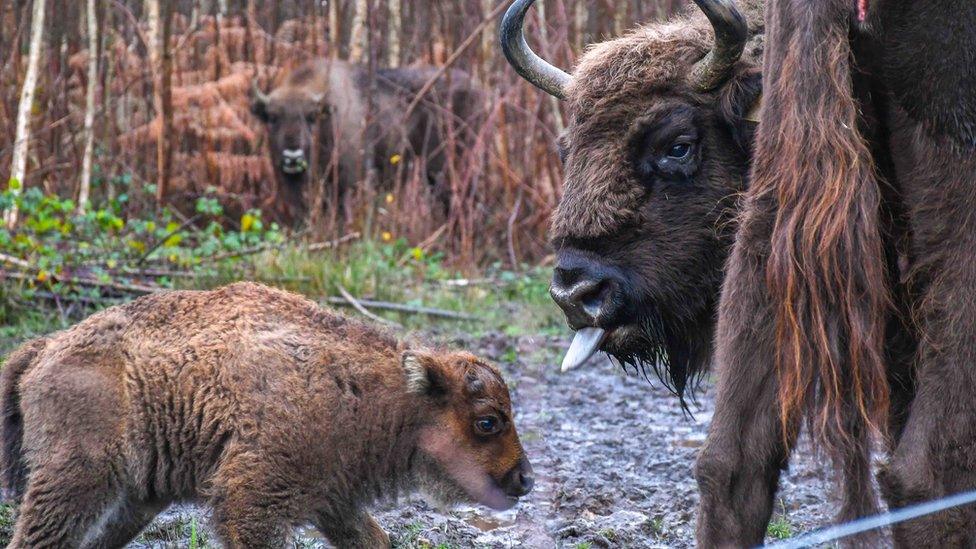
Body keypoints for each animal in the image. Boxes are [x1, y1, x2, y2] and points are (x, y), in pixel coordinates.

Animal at [0, 282, 532, 548]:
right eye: (488, 420)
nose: (525, 479)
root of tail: (46, 347)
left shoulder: (334, 499)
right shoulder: (255, 500)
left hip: (134, 499)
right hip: (77, 479)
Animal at [250, 59, 482, 223]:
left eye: (311, 117)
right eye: (272, 117)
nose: (292, 156)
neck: (330, 116)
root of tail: (479, 89)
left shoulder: (350, 181)